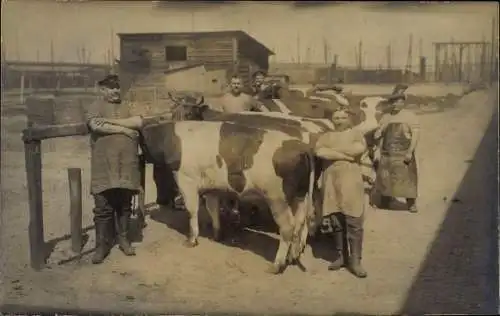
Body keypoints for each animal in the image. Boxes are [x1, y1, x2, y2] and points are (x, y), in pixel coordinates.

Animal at [139, 119, 314, 272]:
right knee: (299, 224)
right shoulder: (212, 188)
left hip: (277, 198)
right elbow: (212, 209)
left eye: (157, 175)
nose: (159, 200)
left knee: (287, 227)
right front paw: (217, 235)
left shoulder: (186, 179)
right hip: (300, 196)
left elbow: (192, 210)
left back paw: (276, 266)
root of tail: (303, 148)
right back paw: (292, 258)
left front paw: (191, 241)